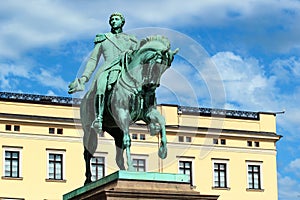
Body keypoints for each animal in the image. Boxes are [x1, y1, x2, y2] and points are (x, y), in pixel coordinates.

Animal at [80, 35, 178, 184]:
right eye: (157, 64)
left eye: (166, 67)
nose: (152, 86)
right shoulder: (122, 114)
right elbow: (128, 141)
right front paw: (132, 167)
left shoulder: (147, 112)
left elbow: (162, 121)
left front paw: (163, 150)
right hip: (88, 130)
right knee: (87, 153)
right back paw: (88, 180)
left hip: (116, 131)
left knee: (118, 156)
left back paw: (121, 171)